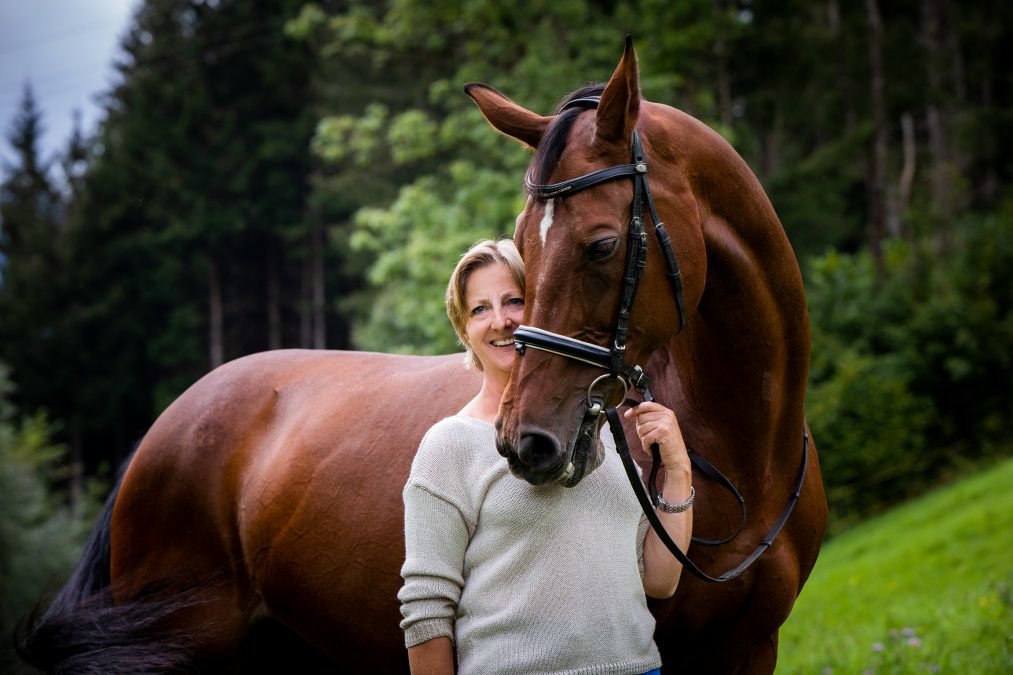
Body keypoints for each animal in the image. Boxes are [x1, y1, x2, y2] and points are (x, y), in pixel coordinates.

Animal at [19, 39, 822, 668]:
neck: (750, 445)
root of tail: (166, 423)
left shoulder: (753, 646)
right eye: (522, 245)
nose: (525, 441)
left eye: (600, 245)